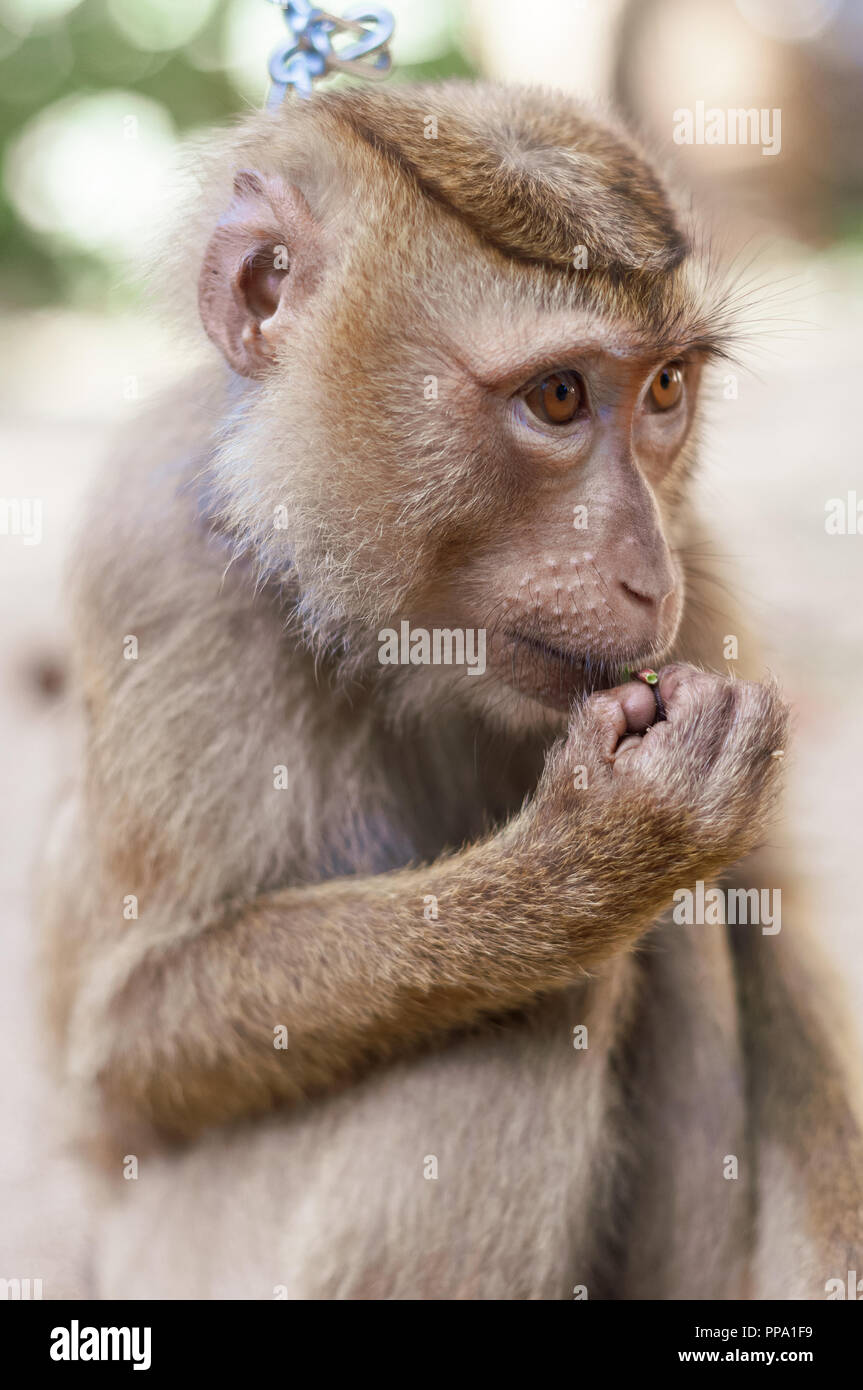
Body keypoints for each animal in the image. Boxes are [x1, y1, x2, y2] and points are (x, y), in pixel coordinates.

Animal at [38, 81, 863, 1300]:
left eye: (665, 388)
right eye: (557, 397)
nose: (645, 576)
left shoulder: (703, 565)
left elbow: (780, 937)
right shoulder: (154, 559)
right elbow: (127, 1045)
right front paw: (593, 858)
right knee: (546, 1000)